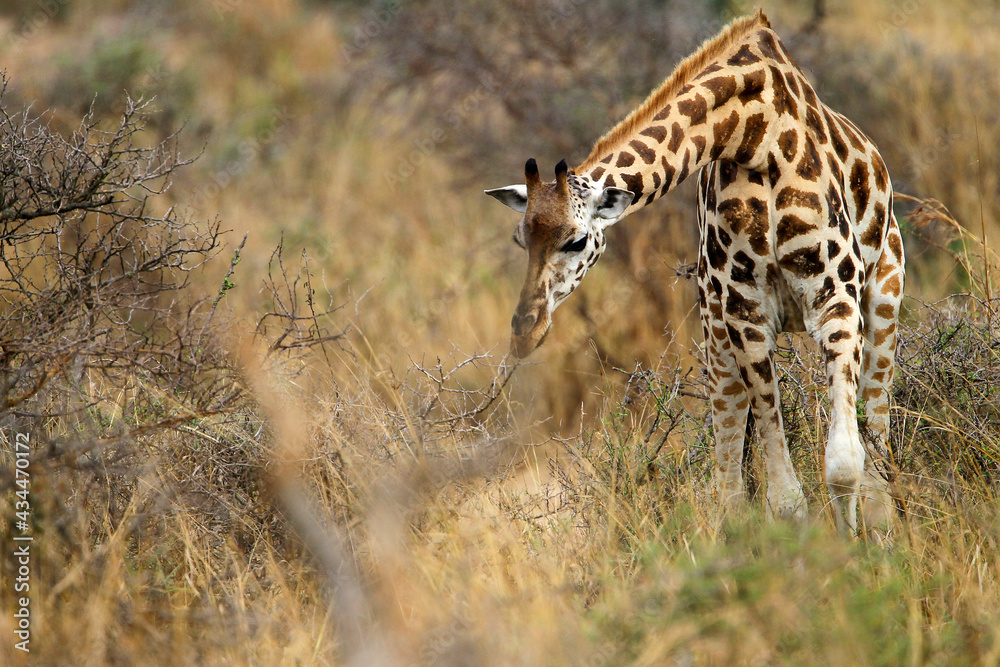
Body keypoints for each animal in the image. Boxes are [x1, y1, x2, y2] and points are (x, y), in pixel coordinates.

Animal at [484, 11, 903, 538]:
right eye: (521, 240)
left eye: (576, 241)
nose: (525, 332)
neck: (752, 136)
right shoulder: (744, 316)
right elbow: (784, 497)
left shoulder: (835, 300)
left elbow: (844, 464)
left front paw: (855, 551)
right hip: (715, 336)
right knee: (729, 474)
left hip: (884, 298)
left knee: (876, 425)